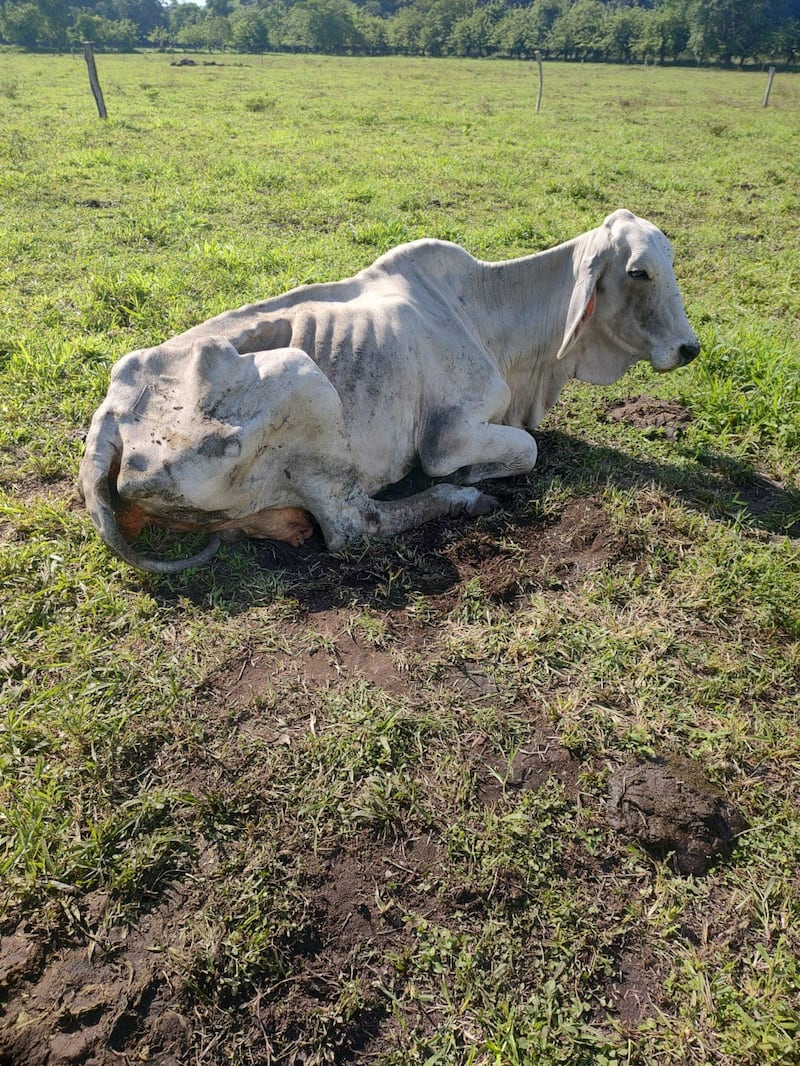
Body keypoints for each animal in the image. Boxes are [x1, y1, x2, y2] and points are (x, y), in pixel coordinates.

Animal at [78, 210, 699, 575]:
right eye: (640, 272)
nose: (690, 348)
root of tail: (112, 414)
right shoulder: (448, 437)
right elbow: (525, 448)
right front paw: (473, 476)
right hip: (305, 380)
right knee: (354, 526)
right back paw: (462, 499)